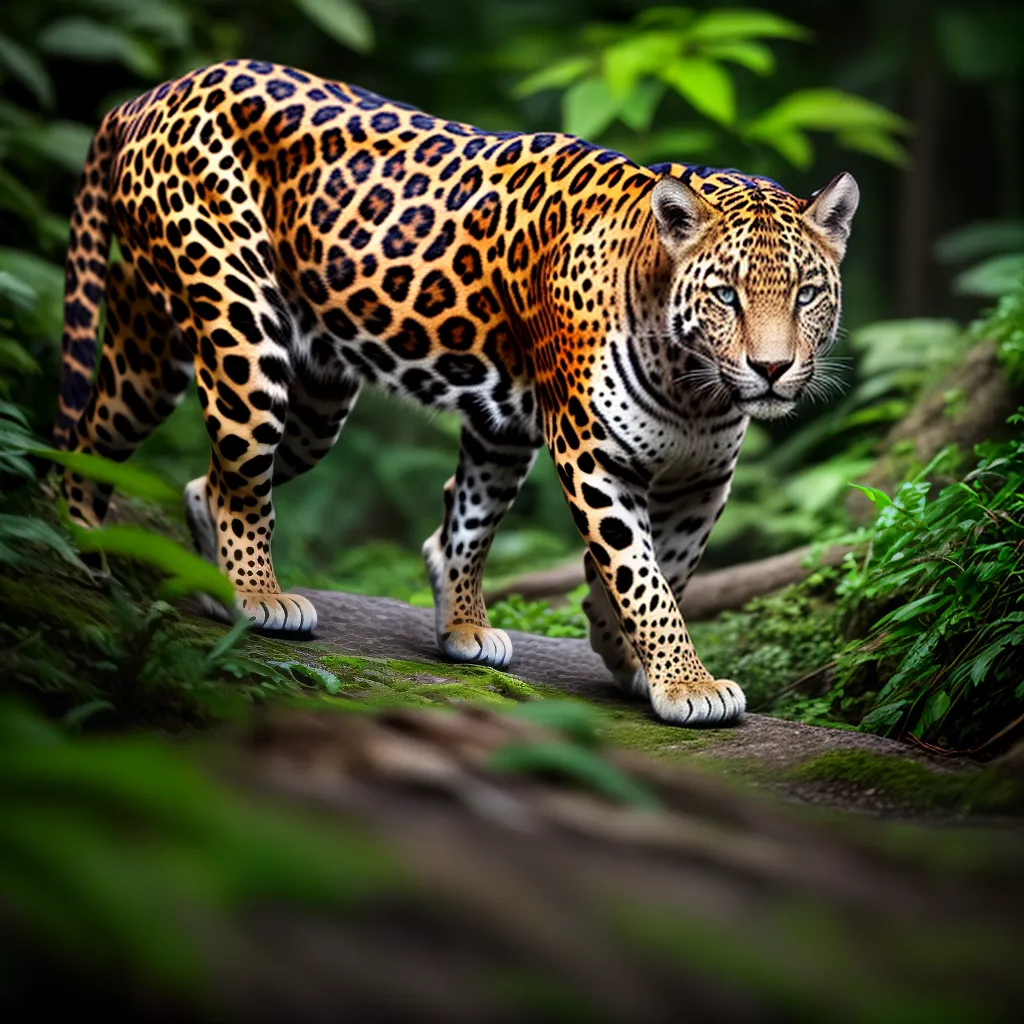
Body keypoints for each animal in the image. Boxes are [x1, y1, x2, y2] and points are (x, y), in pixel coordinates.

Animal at [53, 59, 858, 727]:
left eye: (807, 293)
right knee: (222, 472)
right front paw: (685, 682)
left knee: (175, 463)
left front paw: (625, 654)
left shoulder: (700, 475)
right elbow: (642, 574)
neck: (693, 385)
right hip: (244, 335)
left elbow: (669, 565)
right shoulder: (591, 453)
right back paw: (235, 591)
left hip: (257, 382)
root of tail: (151, 94)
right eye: (725, 294)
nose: (772, 369)